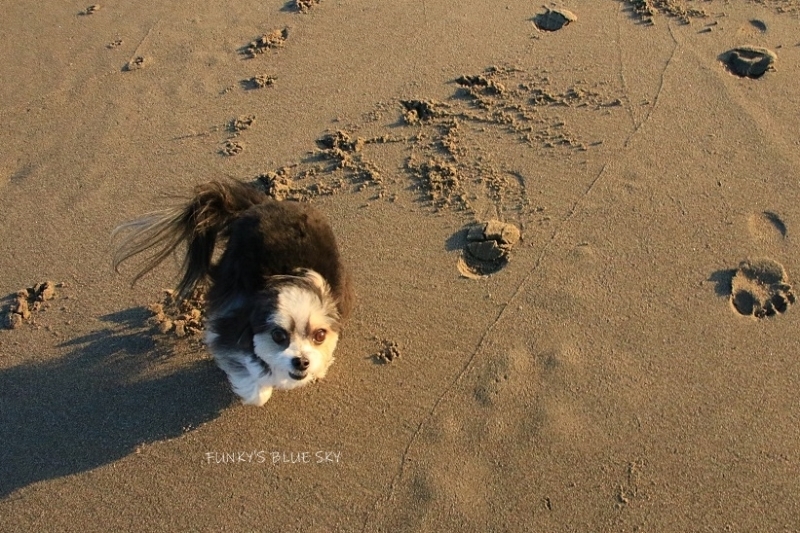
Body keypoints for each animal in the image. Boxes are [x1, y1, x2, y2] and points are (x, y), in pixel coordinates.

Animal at [113, 181, 354, 406]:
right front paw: (255, 386)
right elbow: (253, 383)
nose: (302, 362)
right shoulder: (231, 320)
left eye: (320, 335)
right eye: (278, 335)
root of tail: (263, 203)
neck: (290, 276)